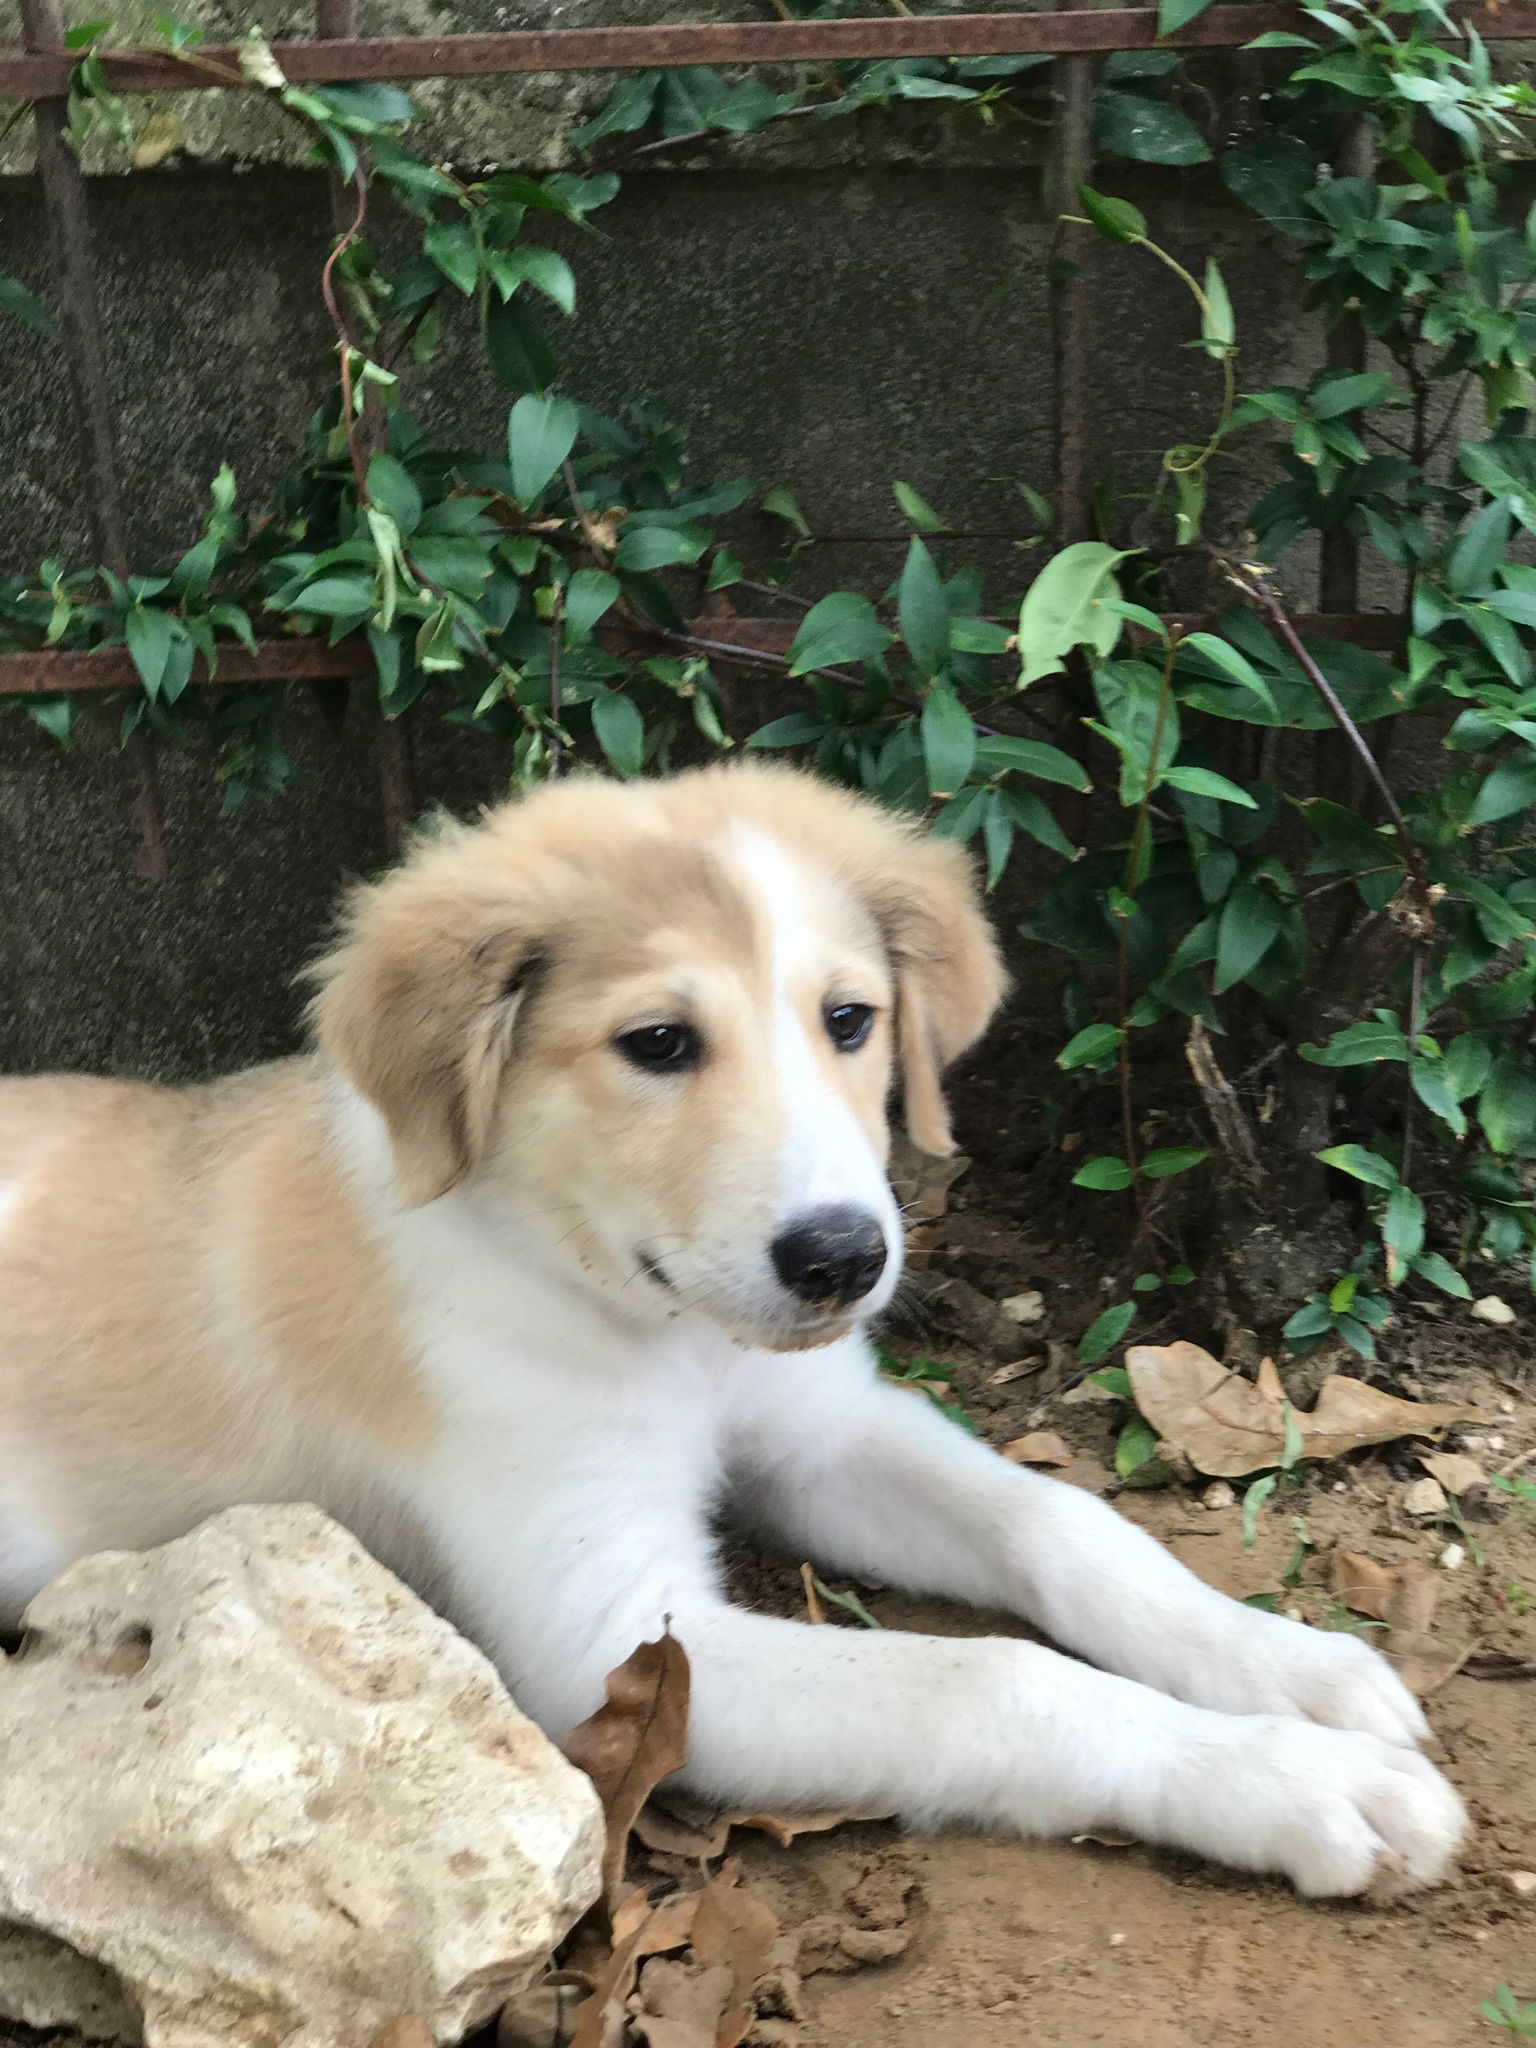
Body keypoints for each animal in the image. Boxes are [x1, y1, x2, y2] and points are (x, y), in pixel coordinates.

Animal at [0, 770, 1474, 1900]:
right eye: (658, 1042)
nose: (844, 1260)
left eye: (849, 1019)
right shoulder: (614, 1637)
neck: (643, 1316)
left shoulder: (824, 1430)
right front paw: (1299, 1780)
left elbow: (1059, 1522)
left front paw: (1289, 1668)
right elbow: (993, 1680)